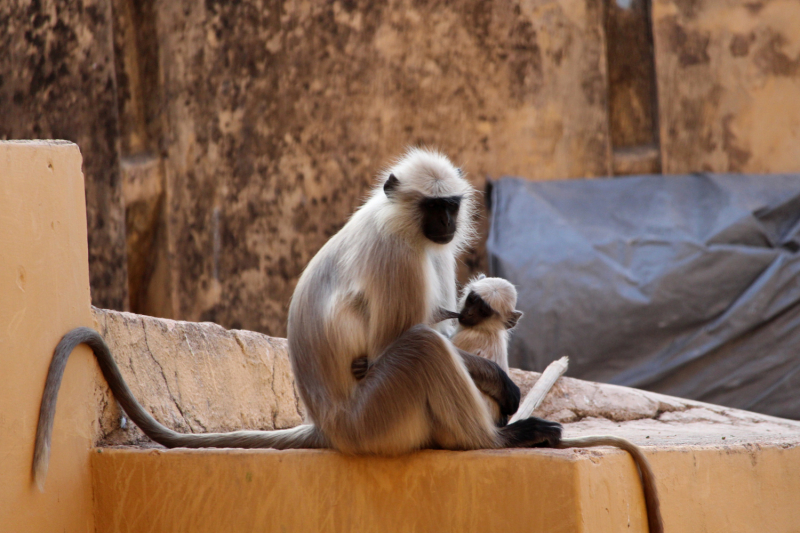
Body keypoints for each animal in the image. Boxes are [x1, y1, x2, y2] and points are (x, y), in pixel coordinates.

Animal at [32, 148, 564, 488]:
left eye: (451, 206)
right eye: (434, 207)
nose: (449, 223)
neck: (401, 223)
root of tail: (328, 427)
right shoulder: (395, 254)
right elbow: (393, 344)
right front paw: (500, 382)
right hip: (374, 421)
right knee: (421, 349)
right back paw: (496, 440)